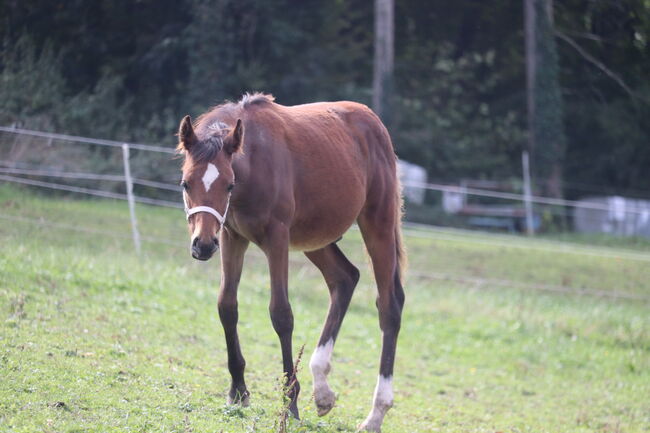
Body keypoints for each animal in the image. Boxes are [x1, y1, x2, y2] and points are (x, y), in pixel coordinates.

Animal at [175, 93, 402, 430]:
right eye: (186, 183)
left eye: (228, 184)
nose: (202, 245)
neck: (253, 164)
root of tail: (373, 121)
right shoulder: (230, 236)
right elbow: (227, 306)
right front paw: (238, 391)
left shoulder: (277, 238)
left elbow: (281, 314)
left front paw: (290, 401)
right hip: (316, 238)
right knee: (345, 278)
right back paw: (322, 390)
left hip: (378, 225)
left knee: (389, 306)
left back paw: (376, 413)